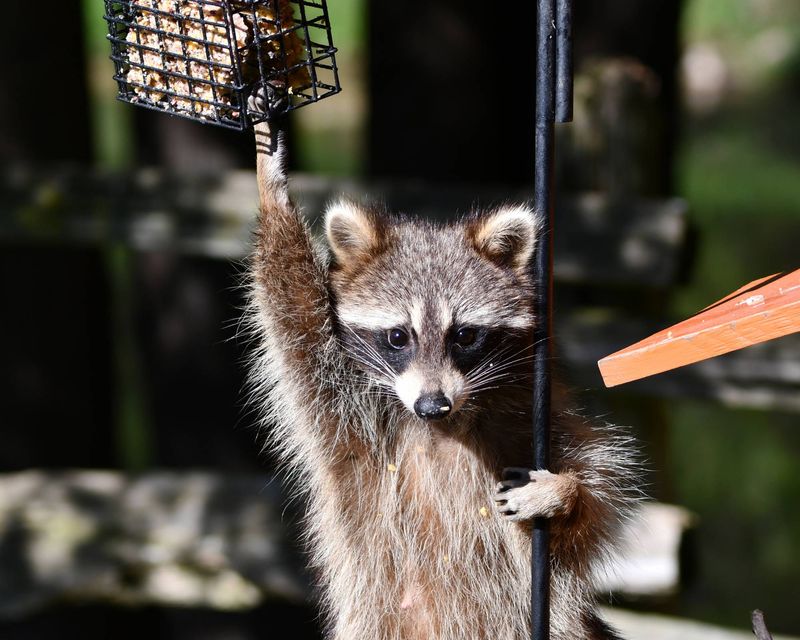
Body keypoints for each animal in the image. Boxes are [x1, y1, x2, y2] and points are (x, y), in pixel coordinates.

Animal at [247, 120, 638, 640]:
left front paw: (564, 494)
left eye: (465, 335)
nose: (432, 405)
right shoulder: (340, 407)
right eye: (398, 336)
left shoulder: (534, 421)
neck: (440, 428)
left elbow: (590, 509)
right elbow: (294, 314)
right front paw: (270, 186)